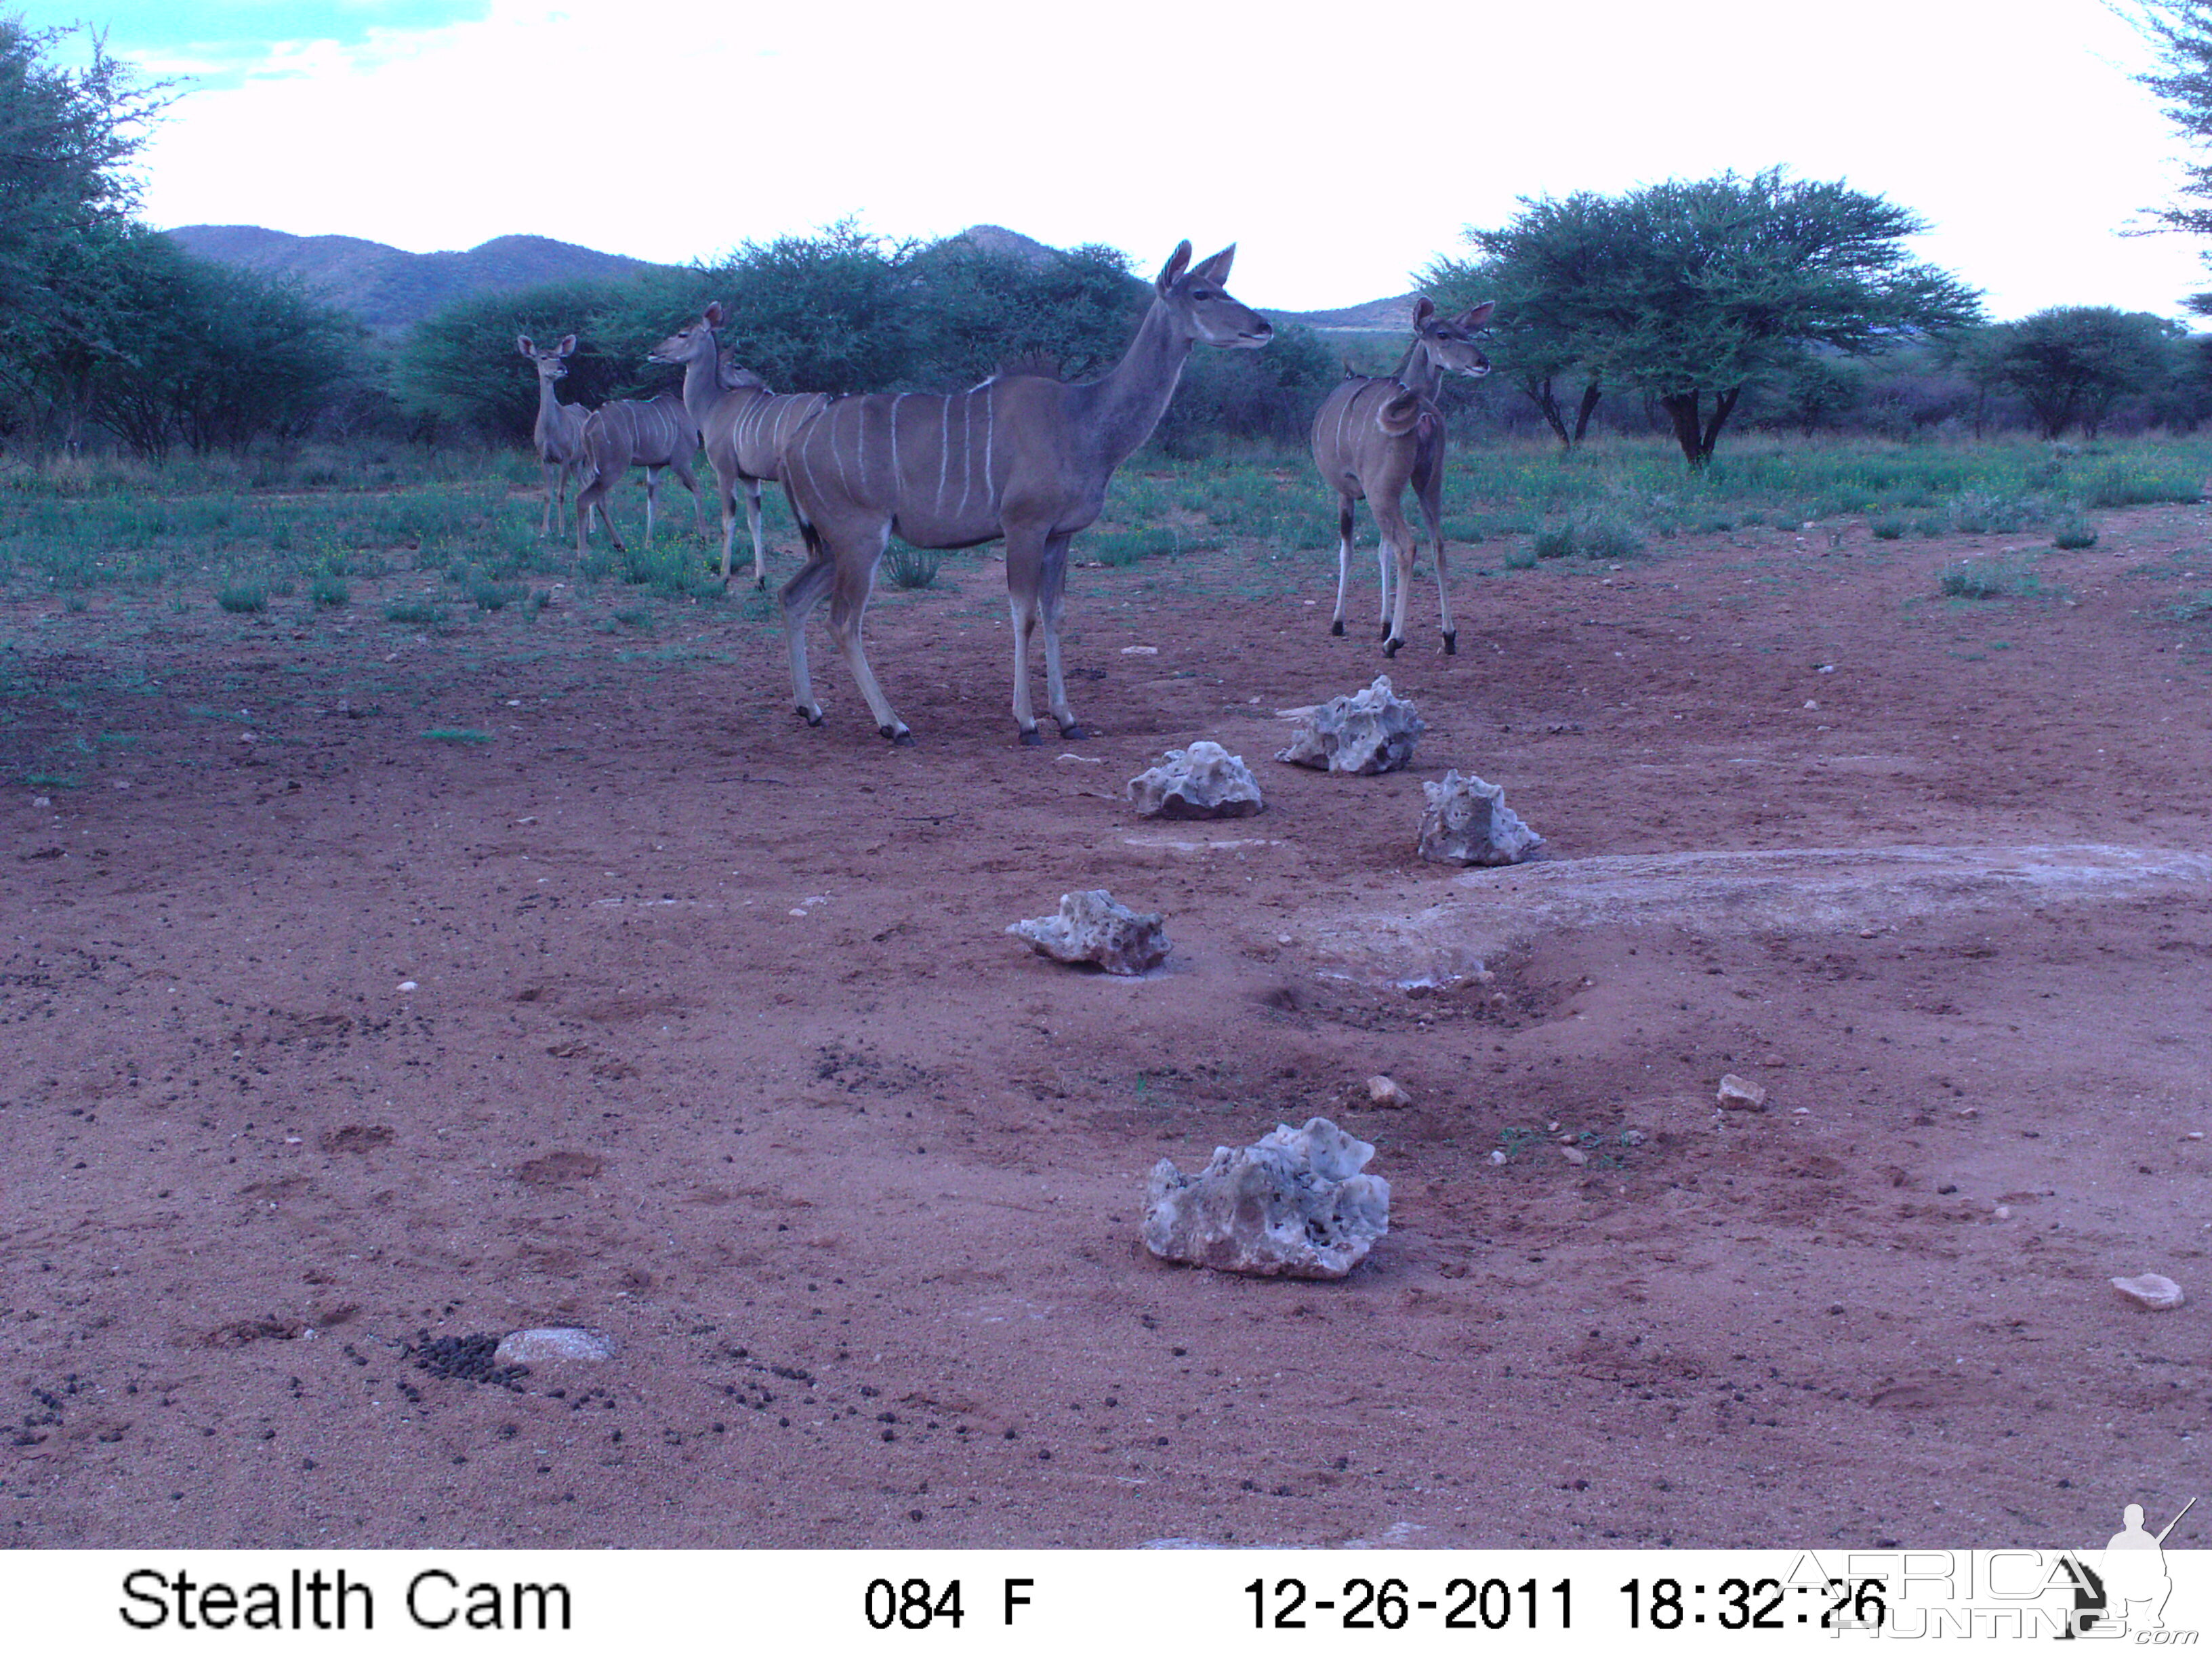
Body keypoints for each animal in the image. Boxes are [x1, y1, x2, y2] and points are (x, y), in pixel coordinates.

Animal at [515, 336, 588, 539]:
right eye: (544, 357)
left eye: (559, 356)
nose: (562, 368)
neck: (550, 431)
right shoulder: (545, 458)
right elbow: (547, 494)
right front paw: (544, 531)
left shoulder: (565, 457)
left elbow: (561, 494)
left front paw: (562, 531)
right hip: (577, 463)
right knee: (584, 486)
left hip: (587, 458)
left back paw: (592, 528)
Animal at [575, 389, 703, 553]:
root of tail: (589, 424)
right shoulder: (682, 463)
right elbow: (697, 490)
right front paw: (704, 538)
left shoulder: (654, 467)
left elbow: (652, 503)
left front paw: (648, 544)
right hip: (614, 468)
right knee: (583, 499)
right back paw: (583, 554)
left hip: (598, 469)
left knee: (599, 501)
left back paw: (619, 544)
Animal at [655, 305, 836, 592]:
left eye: (683, 334)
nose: (654, 352)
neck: (712, 405)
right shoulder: (751, 478)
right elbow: (755, 521)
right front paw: (760, 579)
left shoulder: (725, 471)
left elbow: (728, 521)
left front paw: (724, 575)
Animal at [783, 242, 1274, 747]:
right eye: (1200, 293)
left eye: (1222, 287)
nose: (1263, 327)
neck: (1083, 420)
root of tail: (794, 445)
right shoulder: (1024, 526)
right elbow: (1024, 615)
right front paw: (1028, 722)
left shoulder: (1060, 535)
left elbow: (1055, 613)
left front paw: (1068, 718)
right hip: (861, 538)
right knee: (843, 621)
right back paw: (894, 724)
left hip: (836, 546)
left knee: (792, 596)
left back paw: (812, 709)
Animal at [1300, 296, 1495, 659]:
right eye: (1445, 334)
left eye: (1466, 333)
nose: (1482, 362)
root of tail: (1422, 414)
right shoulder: (1395, 490)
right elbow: (1382, 551)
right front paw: (1384, 622)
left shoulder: (1348, 491)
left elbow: (1348, 549)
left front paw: (1340, 623)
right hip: (1428, 484)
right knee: (1437, 544)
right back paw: (1448, 636)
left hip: (1382, 494)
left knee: (1408, 546)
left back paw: (1395, 642)